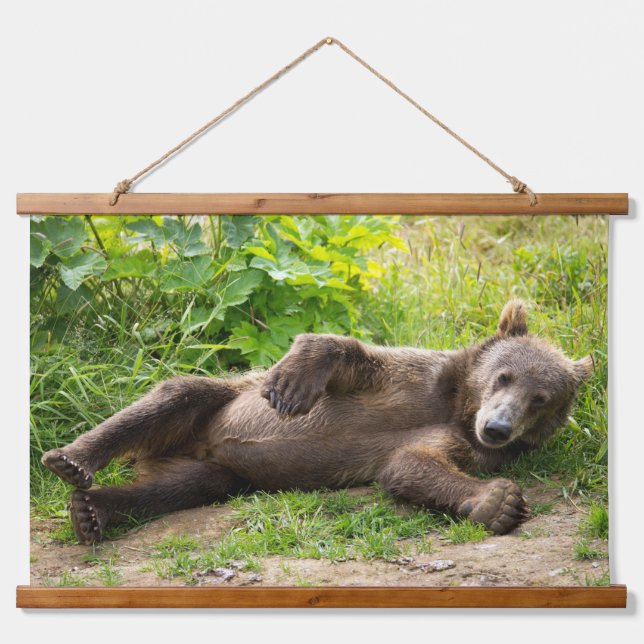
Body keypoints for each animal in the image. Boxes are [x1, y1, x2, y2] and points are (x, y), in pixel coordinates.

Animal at [41, 299, 593, 544]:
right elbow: (343, 351)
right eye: (503, 376)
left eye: (540, 398)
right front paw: (292, 385)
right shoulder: (410, 381)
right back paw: (71, 460)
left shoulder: (458, 444)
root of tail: (201, 448)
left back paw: (93, 511)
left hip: (224, 473)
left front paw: (497, 503)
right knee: (173, 396)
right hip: (214, 407)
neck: (457, 406)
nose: (496, 428)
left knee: (175, 488)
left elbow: (411, 465)